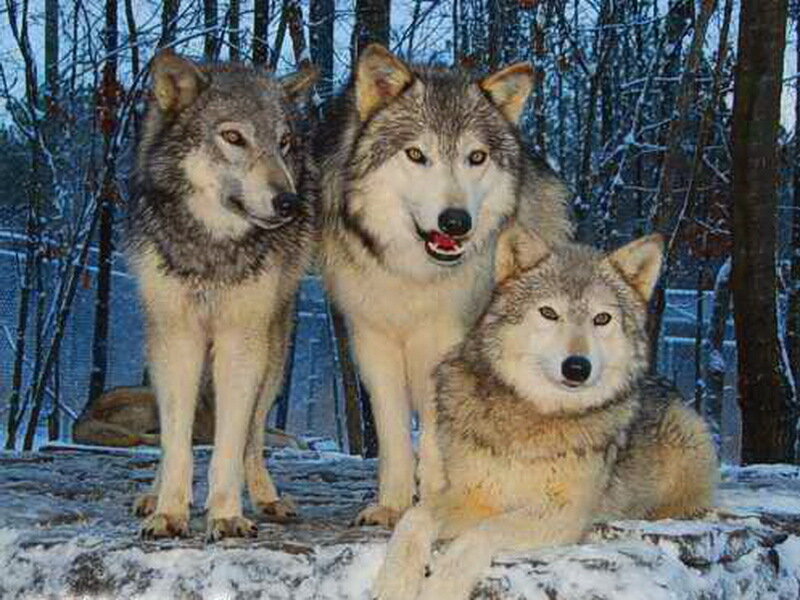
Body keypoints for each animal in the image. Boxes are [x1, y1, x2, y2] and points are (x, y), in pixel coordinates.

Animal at [127, 50, 316, 540]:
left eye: (284, 142)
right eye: (234, 137)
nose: (288, 202)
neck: (212, 249)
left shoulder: (241, 340)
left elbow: (230, 443)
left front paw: (227, 514)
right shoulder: (177, 339)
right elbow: (177, 442)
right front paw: (169, 511)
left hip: (273, 357)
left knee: (253, 434)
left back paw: (267, 497)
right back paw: (153, 493)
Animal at [313, 44, 572, 527]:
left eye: (476, 157)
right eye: (417, 154)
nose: (455, 222)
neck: (414, 276)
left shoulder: (447, 343)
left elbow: (437, 429)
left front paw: (434, 498)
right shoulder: (372, 342)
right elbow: (393, 432)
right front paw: (392, 505)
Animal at [374, 228, 718, 600]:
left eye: (601, 319)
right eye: (549, 313)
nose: (577, 367)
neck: (536, 415)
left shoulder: (563, 512)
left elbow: (482, 533)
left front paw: (441, 586)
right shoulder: (475, 495)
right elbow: (414, 518)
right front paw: (394, 582)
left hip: (690, 432)